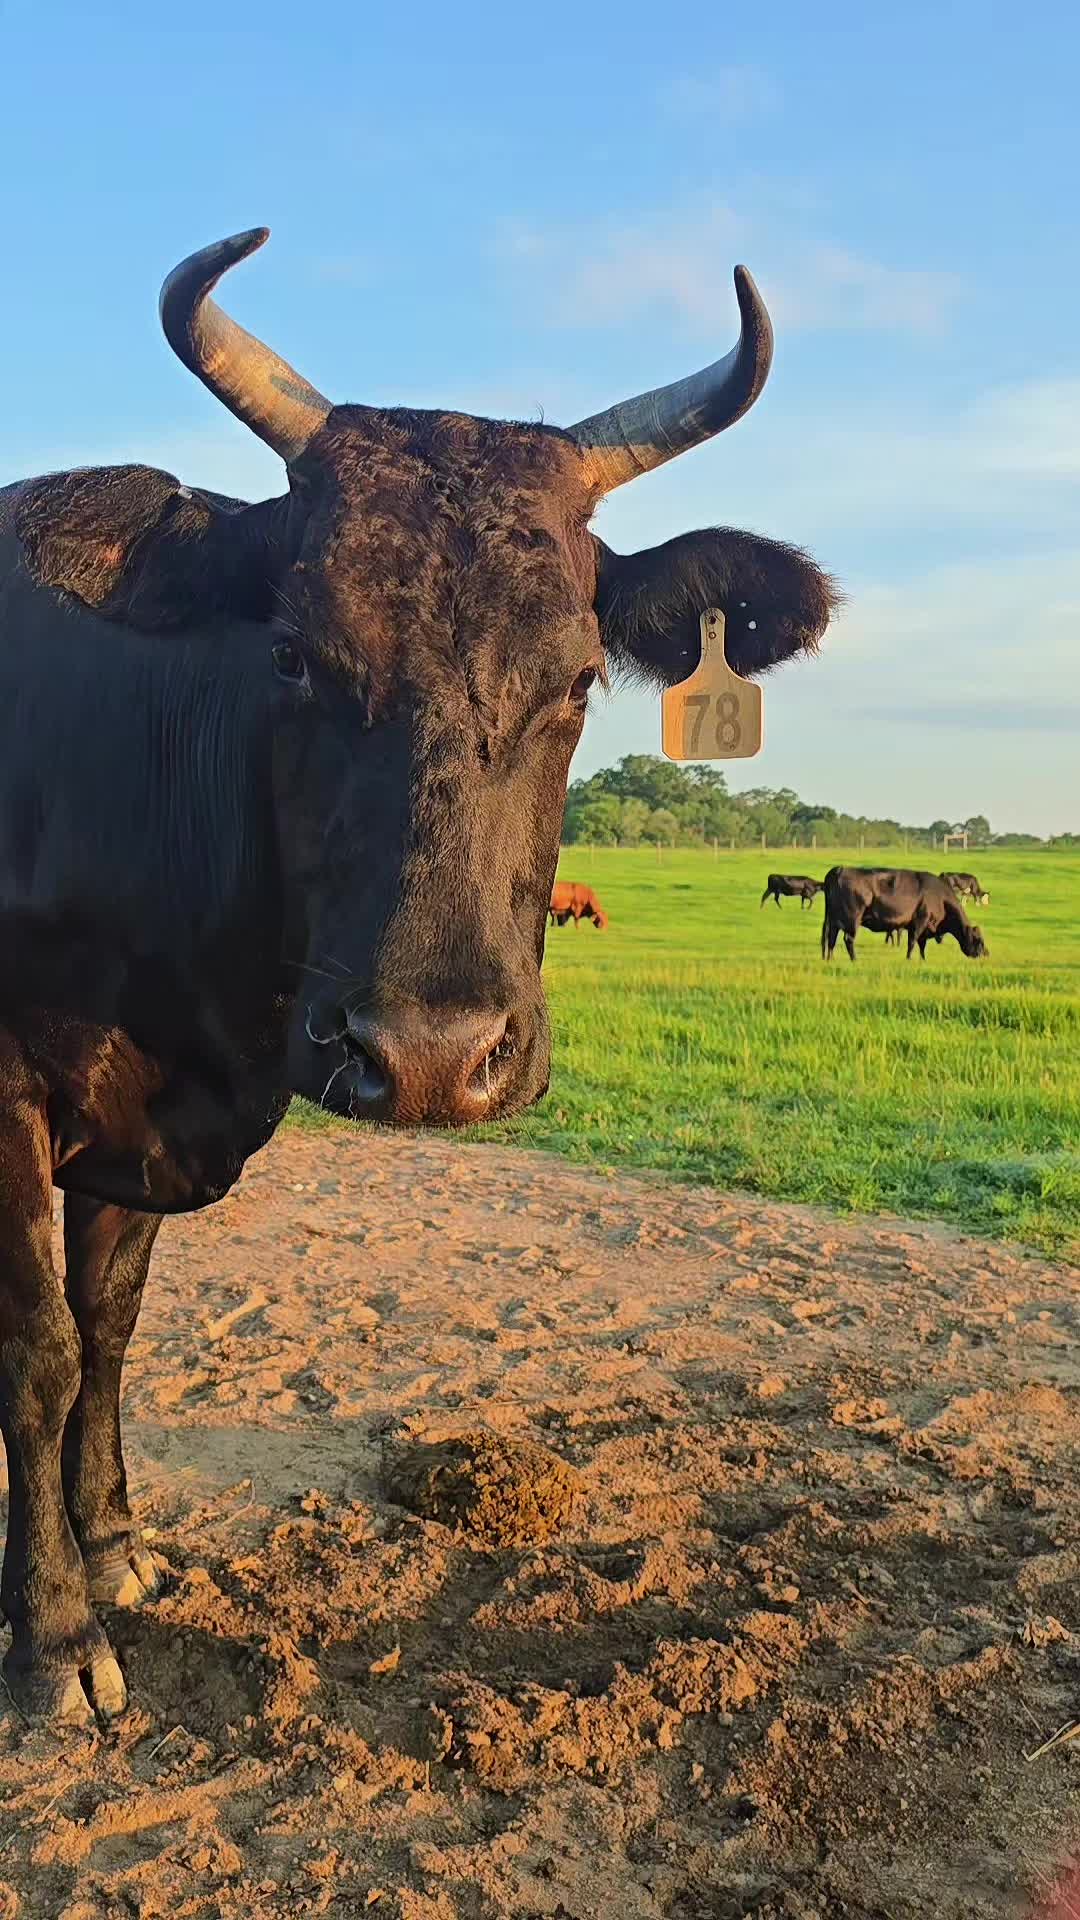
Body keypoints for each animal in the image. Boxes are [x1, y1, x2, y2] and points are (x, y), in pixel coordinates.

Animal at [0, 227, 836, 1726]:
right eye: (290, 652)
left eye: (579, 678)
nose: (434, 1057)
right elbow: (36, 1352)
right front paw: (49, 1637)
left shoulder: (135, 1120)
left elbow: (108, 1326)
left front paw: (113, 1549)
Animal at [822, 868, 988, 963]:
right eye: (978, 940)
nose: (986, 955)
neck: (940, 898)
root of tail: (839, 869)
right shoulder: (919, 921)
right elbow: (913, 942)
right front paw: (908, 959)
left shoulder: (924, 927)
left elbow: (922, 945)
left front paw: (923, 960)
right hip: (852, 919)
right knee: (848, 939)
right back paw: (855, 960)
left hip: (833, 920)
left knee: (831, 939)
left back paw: (831, 959)